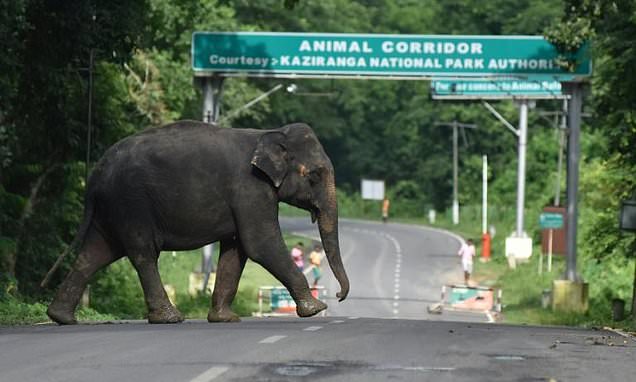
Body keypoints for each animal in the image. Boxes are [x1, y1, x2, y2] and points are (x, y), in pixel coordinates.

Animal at [47, 121, 350, 324]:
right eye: (314, 175)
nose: (338, 296)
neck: (269, 133)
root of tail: (96, 173)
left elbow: (236, 250)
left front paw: (224, 318)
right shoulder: (250, 189)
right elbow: (260, 244)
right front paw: (316, 308)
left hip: (112, 207)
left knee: (95, 253)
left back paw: (61, 317)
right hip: (131, 202)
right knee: (142, 253)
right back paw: (170, 317)